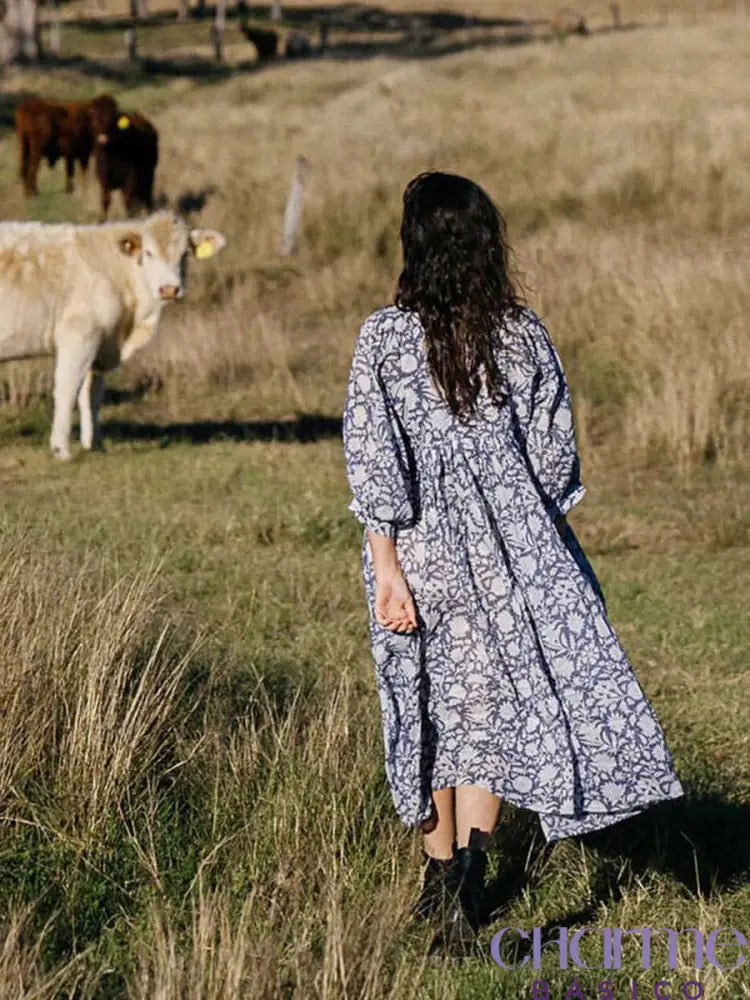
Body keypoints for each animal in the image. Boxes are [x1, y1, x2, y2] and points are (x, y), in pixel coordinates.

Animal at [0, 217, 226, 458]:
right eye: (148, 253)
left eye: (185, 254)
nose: (169, 289)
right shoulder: (79, 336)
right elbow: (67, 389)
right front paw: (61, 449)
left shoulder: (102, 344)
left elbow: (91, 396)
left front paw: (95, 445)